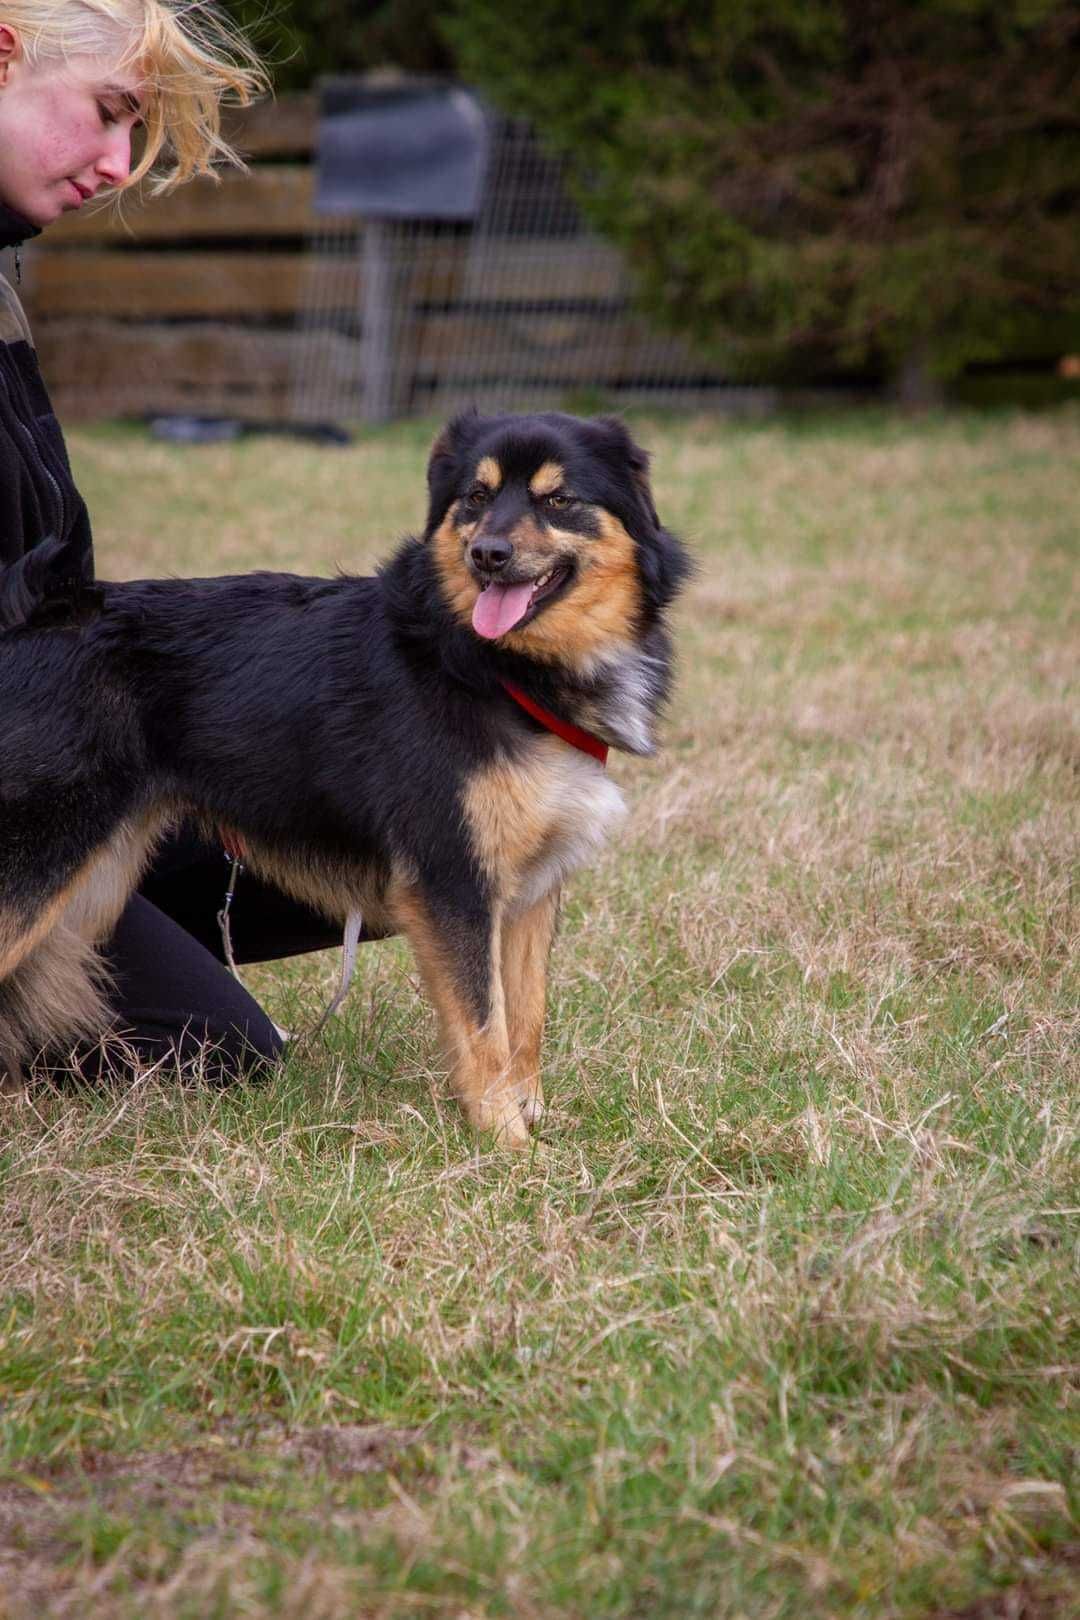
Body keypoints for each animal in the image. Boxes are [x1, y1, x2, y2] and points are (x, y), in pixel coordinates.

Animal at [0, 411, 689, 1146]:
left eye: (558, 500)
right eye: (476, 497)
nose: (488, 556)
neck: (493, 667)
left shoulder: (529, 885)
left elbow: (524, 1017)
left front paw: (531, 1117)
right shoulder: (452, 878)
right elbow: (483, 1024)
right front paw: (506, 1143)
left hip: (95, 883)